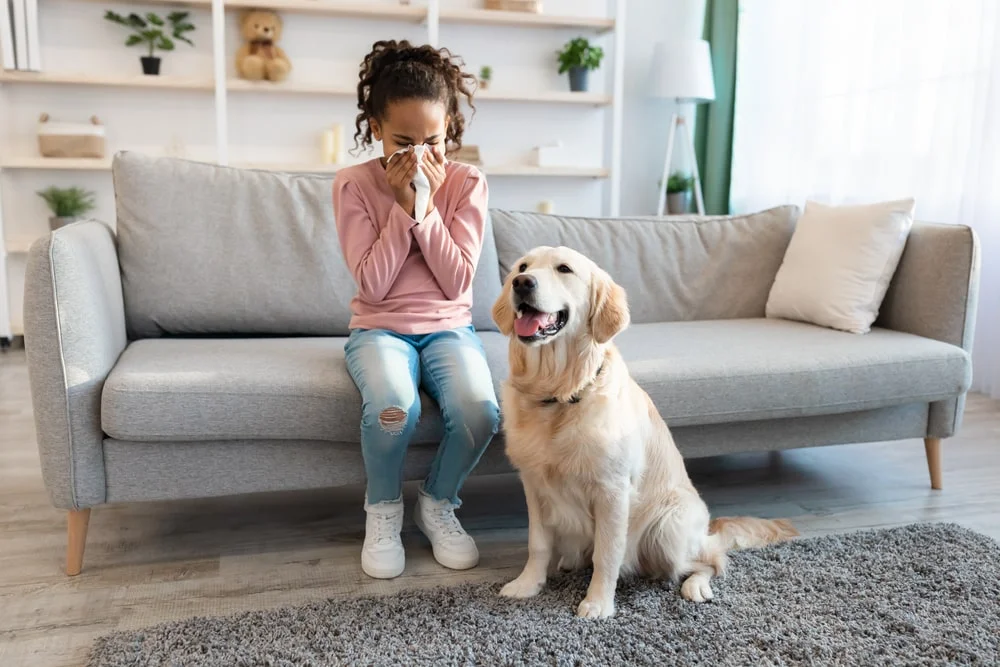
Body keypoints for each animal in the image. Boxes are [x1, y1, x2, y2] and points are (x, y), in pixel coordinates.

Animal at [492, 247, 796, 620]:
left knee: (711, 560)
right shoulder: (534, 484)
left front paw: (598, 602)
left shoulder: (612, 490)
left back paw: (696, 585)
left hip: (667, 529)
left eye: (564, 269)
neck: (559, 394)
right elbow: (537, 543)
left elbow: (607, 553)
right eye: (522, 267)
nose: (522, 283)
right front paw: (528, 584)